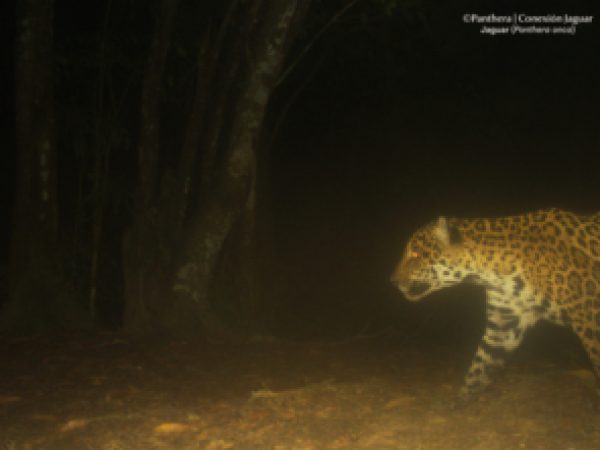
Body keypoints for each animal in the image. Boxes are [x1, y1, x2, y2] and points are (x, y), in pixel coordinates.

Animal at [390, 208, 600, 407]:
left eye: (415, 254)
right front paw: (459, 400)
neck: (493, 272)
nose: (392, 280)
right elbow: (481, 364)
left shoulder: (590, 318)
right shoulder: (504, 323)